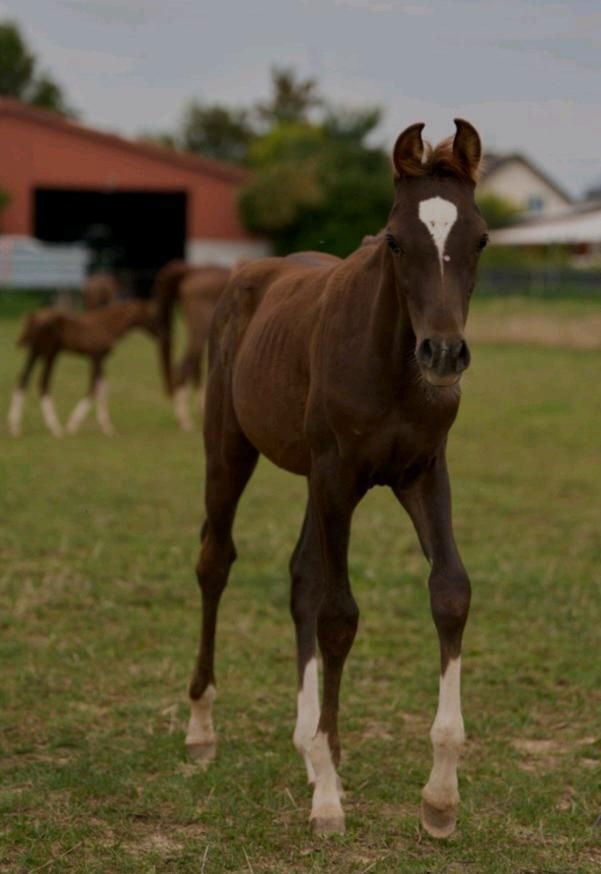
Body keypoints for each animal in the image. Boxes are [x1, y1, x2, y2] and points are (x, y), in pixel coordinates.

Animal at [8, 300, 156, 436]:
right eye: (148, 314)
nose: (156, 331)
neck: (107, 325)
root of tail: (34, 317)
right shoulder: (96, 358)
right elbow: (93, 389)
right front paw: (72, 424)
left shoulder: (100, 360)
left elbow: (103, 389)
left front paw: (107, 427)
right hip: (50, 353)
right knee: (43, 383)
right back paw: (55, 427)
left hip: (35, 352)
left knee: (23, 379)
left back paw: (15, 426)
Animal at [186, 119, 488, 836]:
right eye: (397, 239)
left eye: (481, 239)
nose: (443, 354)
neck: (391, 364)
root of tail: (248, 273)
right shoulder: (337, 476)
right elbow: (339, 614)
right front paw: (328, 795)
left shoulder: (422, 473)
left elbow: (449, 592)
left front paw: (439, 796)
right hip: (230, 450)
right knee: (216, 560)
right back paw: (202, 729)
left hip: (315, 482)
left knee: (299, 576)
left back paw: (308, 745)